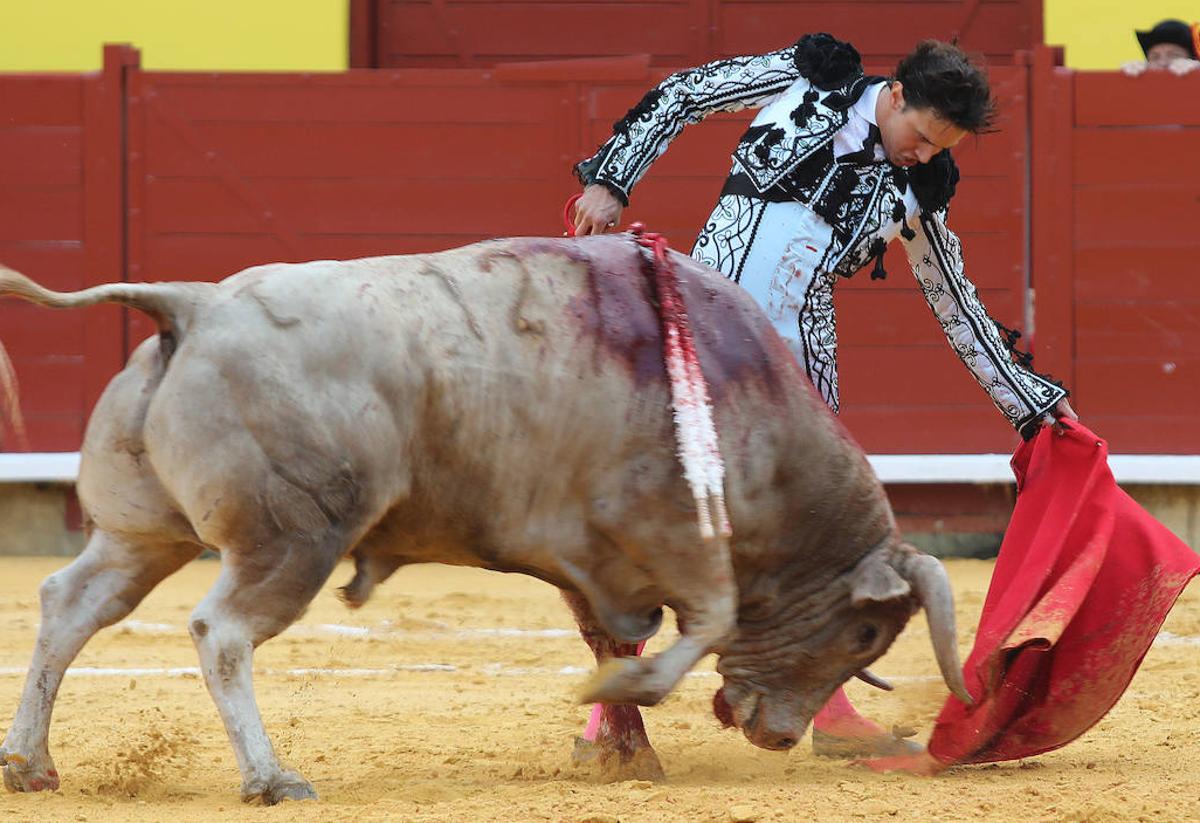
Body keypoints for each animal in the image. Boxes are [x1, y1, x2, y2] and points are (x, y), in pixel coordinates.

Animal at [0, 235, 964, 801]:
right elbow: (697, 627)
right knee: (222, 630)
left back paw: (31, 763)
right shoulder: (667, 539)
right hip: (293, 540)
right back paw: (272, 777)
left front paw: (627, 752)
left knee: (70, 605)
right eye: (866, 632)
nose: (781, 734)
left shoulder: (595, 566)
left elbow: (615, 634)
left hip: (142, 534)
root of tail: (193, 304)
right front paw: (621, 700)